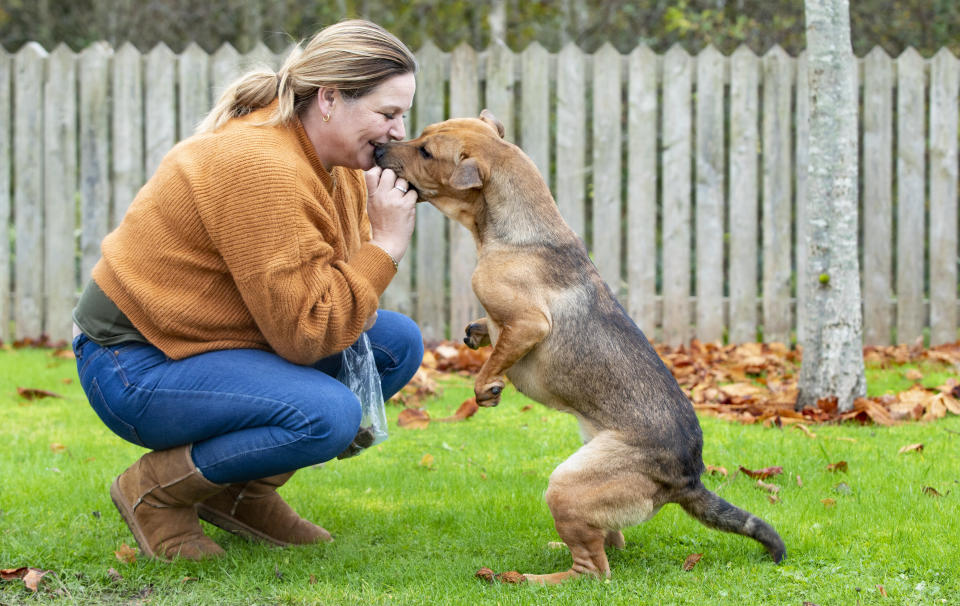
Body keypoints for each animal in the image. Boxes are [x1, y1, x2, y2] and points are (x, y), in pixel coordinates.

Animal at [372, 110, 784, 588]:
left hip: (567, 485)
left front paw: (485, 385)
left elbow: (496, 357)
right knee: (609, 541)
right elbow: (489, 333)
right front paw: (475, 334)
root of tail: (690, 479)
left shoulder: (528, 324)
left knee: (593, 570)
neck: (519, 231)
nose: (378, 148)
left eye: (425, 151)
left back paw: (526, 579)